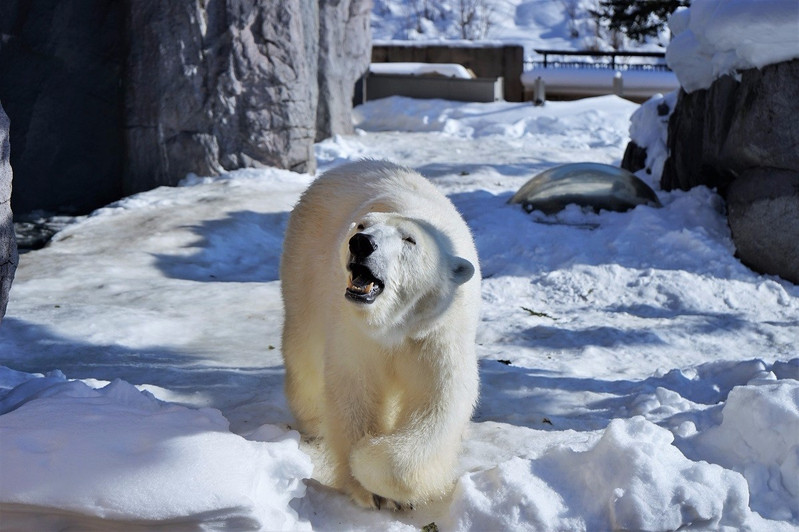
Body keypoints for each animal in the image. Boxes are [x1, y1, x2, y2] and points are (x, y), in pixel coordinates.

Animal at [282, 160, 482, 510]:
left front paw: (371, 465)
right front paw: (368, 489)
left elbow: (439, 402)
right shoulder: (357, 334)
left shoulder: (434, 332)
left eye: (410, 240)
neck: (395, 324)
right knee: (303, 349)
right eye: (361, 225)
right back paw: (313, 424)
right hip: (303, 266)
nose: (361, 243)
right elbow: (354, 391)